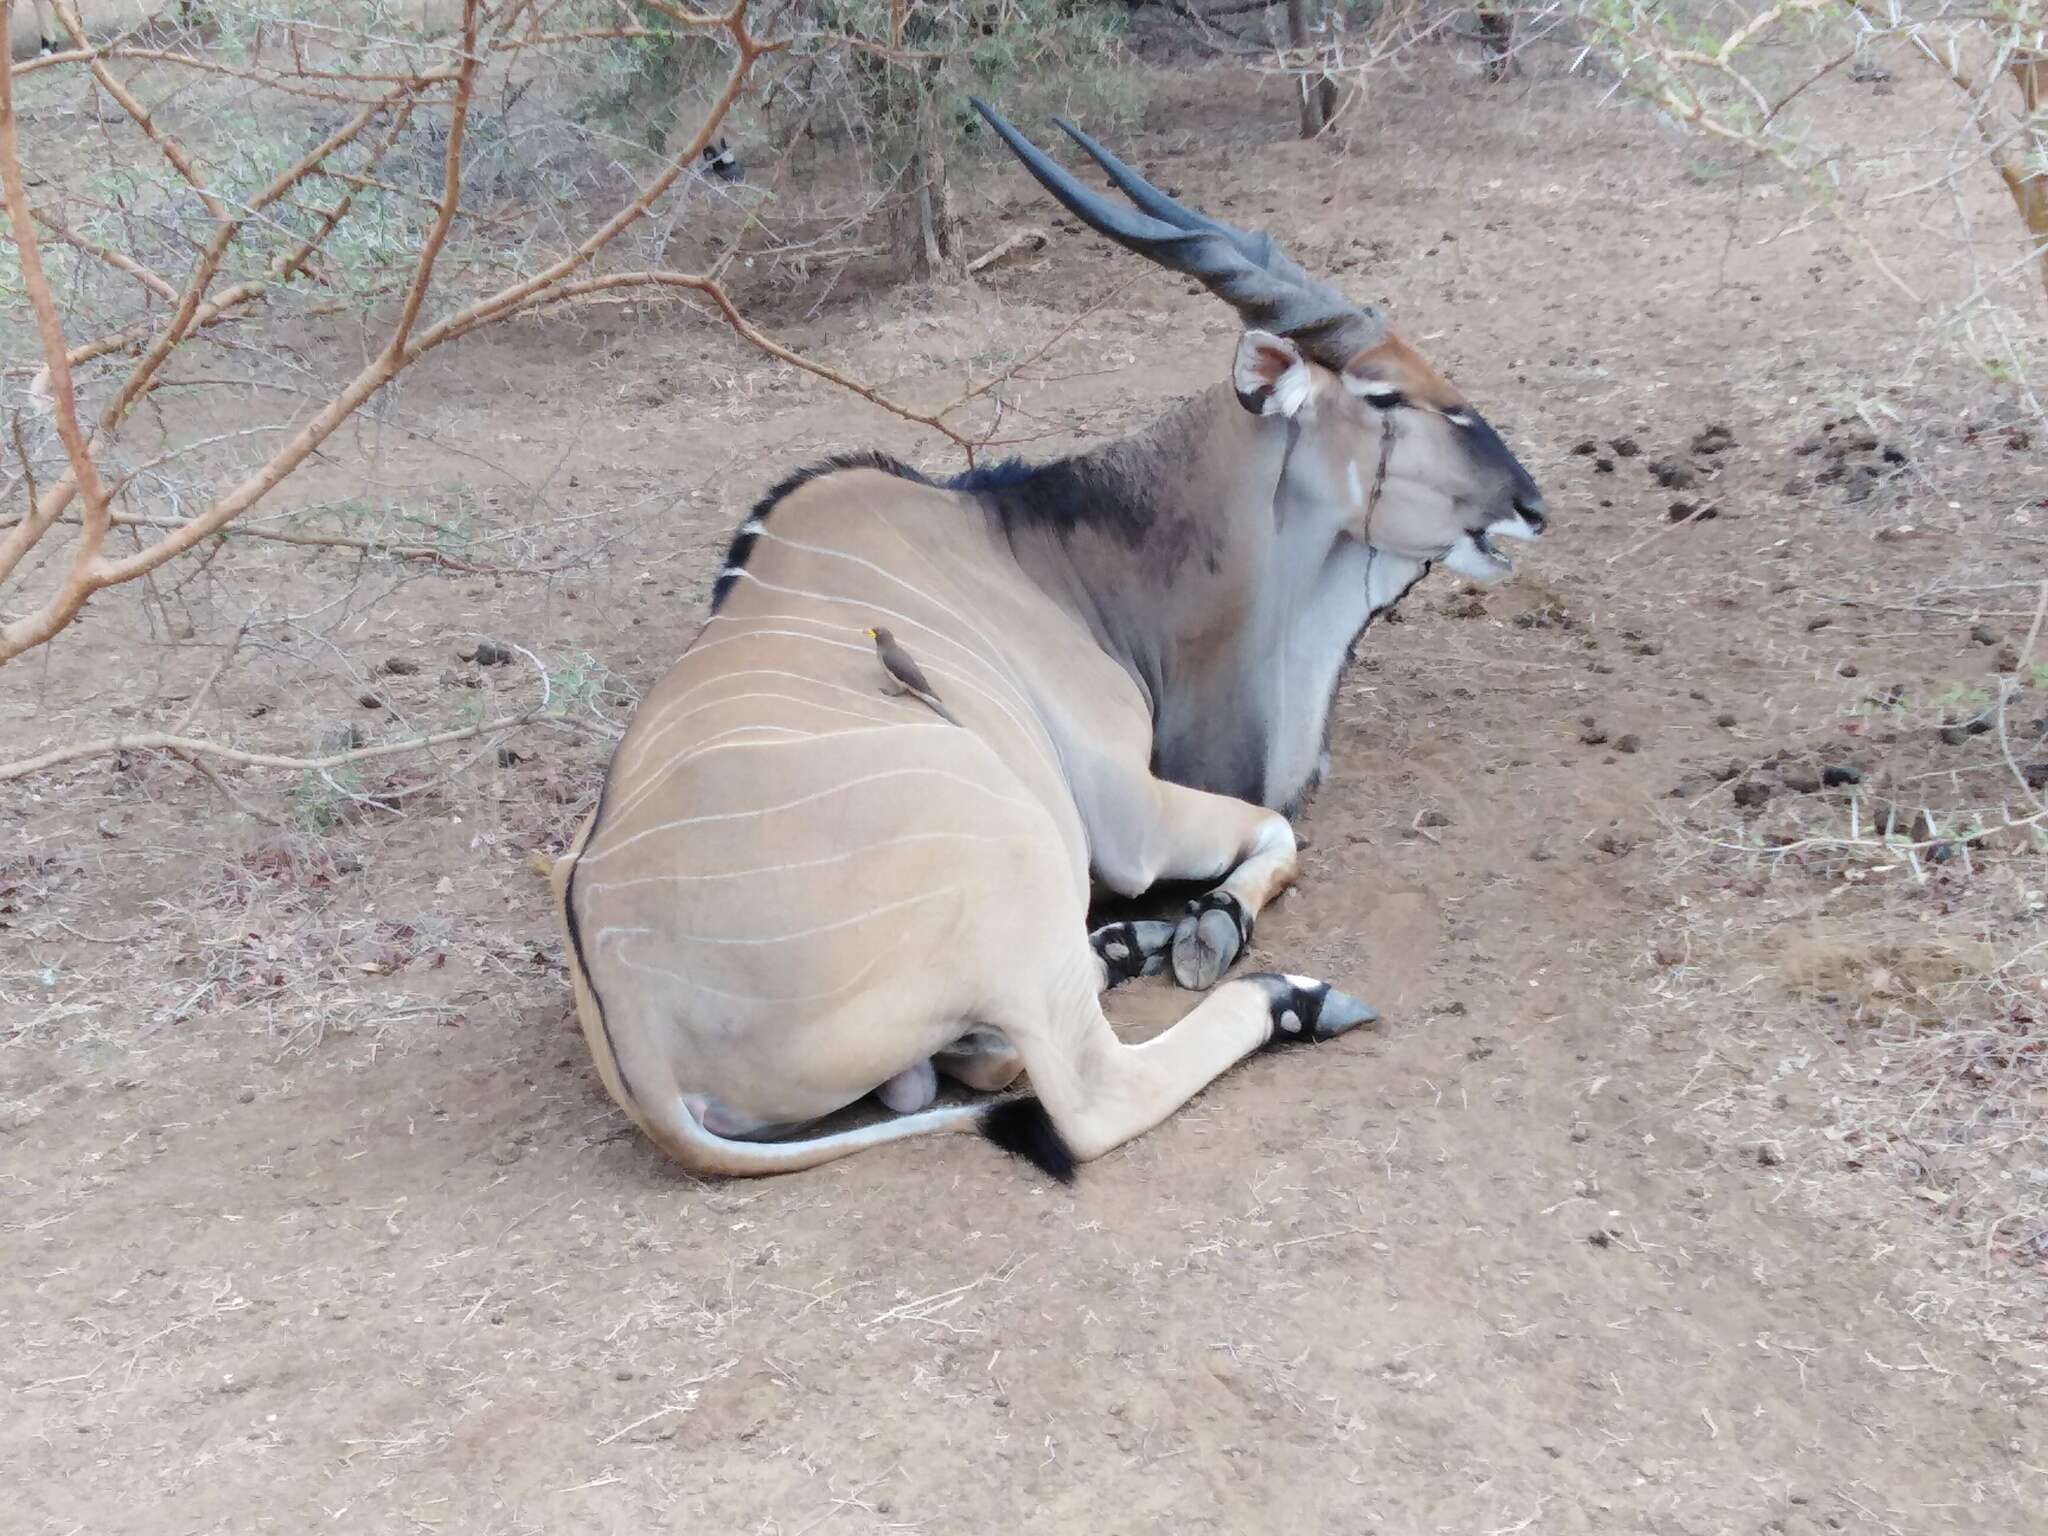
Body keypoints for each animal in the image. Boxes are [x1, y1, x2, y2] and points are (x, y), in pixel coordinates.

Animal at [552, 102, 1540, 1187]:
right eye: (1382, 396)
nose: (1526, 503)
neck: (1040, 557)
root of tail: (644, 1049)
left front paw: (1149, 935)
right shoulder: (1134, 819)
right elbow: (1276, 838)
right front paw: (1203, 926)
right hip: (1021, 857)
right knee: (1086, 1092)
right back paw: (1289, 997)